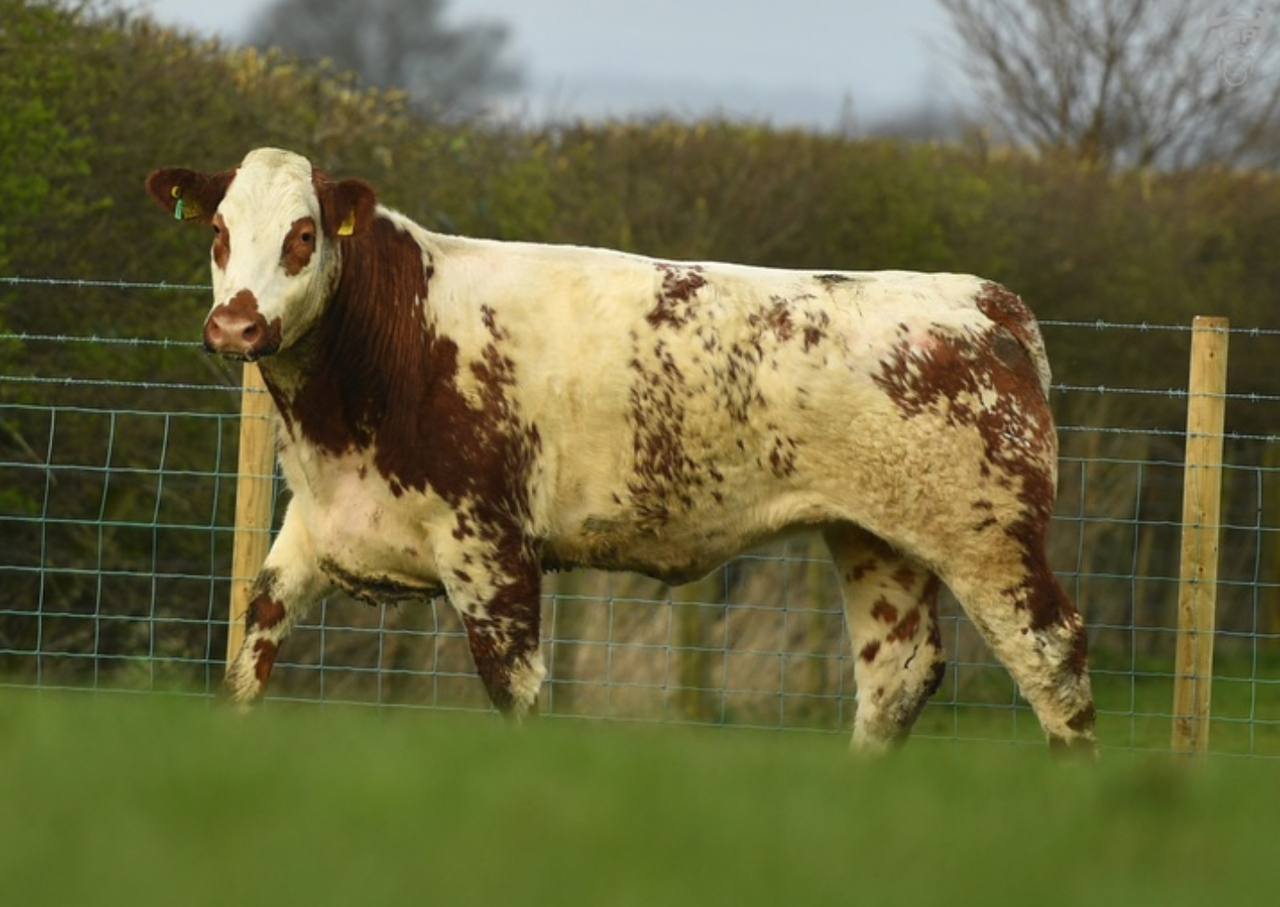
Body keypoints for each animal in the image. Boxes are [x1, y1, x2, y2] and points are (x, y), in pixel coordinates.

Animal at [146, 147, 1096, 753]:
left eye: (303, 234)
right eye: (218, 232)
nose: (235, 325)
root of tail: (978, 299)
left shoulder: (493, 550)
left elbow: (516, 692)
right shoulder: (313, 529)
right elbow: (249, 650)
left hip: (987, 538)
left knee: (1053, 657)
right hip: (876, 539)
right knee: (896, 674)